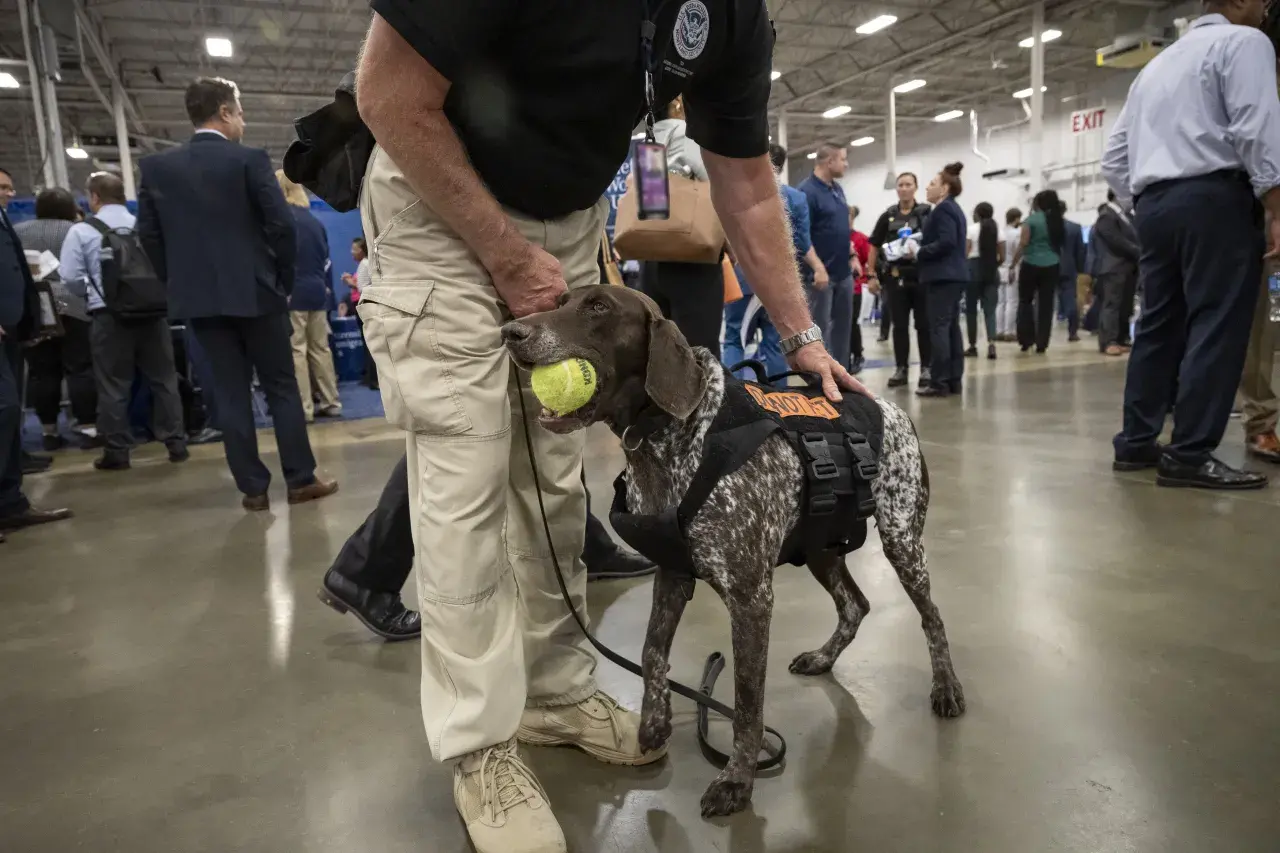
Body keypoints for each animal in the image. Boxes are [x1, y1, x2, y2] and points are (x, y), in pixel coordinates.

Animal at [504, 284, 962, 819]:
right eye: (560, 301)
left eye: (598, 307)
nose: (511, 332)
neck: (669, 443)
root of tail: (890, 408)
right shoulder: (672, 572)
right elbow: (652, 651)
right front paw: (654, 722)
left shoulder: (750, 599)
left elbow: (746, 701)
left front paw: (738, 780)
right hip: (820, 545)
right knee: (856, 604)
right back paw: (824, 657)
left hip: (902, 539)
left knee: (932, 617)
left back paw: (946, 687)